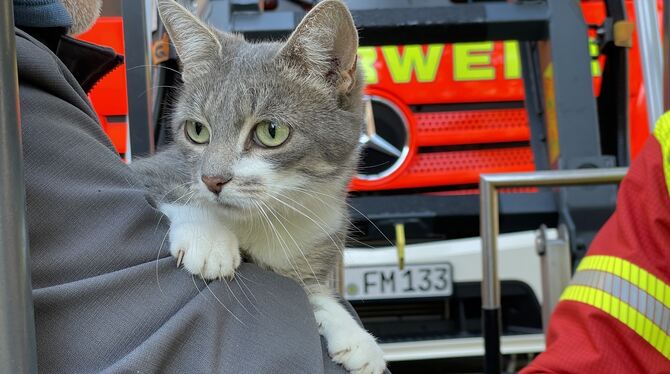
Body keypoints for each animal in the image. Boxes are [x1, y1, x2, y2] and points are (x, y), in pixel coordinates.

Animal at [131, 0, 386, 374]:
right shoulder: (151, 169)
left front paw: (349, 330)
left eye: (271, 132)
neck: (269, 218)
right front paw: (209, 238)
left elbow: (306, 290)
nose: (212, 179)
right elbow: (170, 187)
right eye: (197, 130)